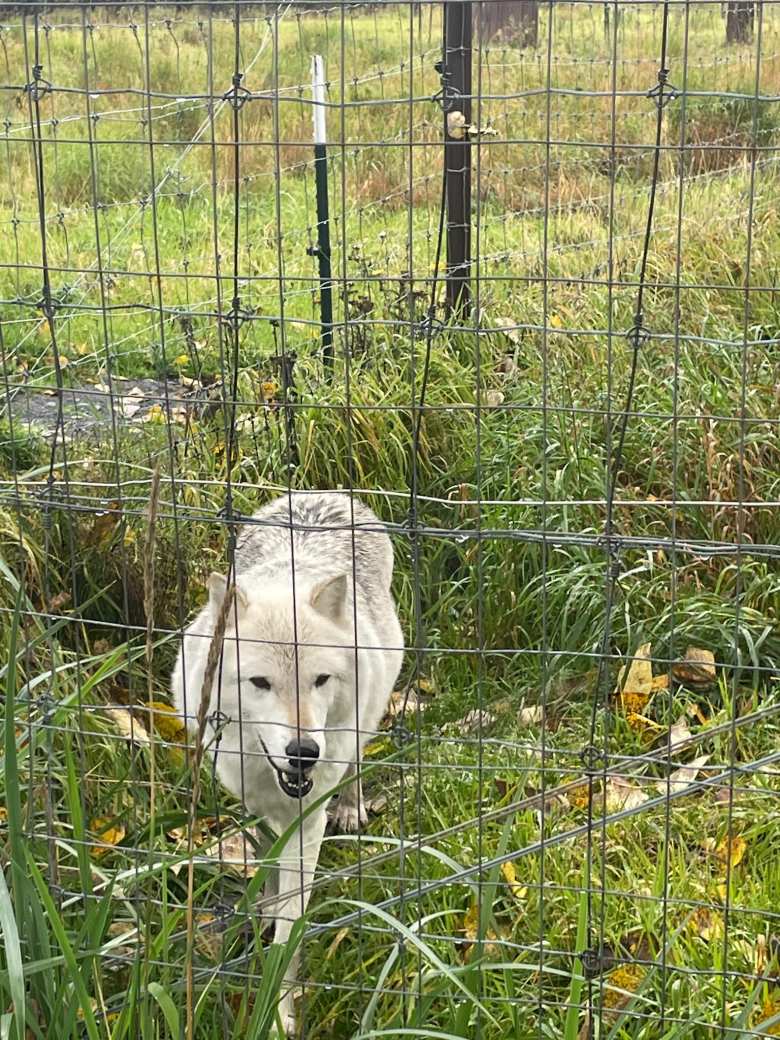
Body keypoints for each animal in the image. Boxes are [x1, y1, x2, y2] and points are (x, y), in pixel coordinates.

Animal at [170, 492, 403, 1031]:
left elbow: (289, 927)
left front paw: (277, 1015)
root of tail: (326, 494)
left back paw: (352, 807)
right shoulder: (251, 802)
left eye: (320, 679)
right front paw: (262, 909)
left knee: (355, 765)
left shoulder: (307, 820)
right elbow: (266, 869)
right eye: (260, 683)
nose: (304, 753)